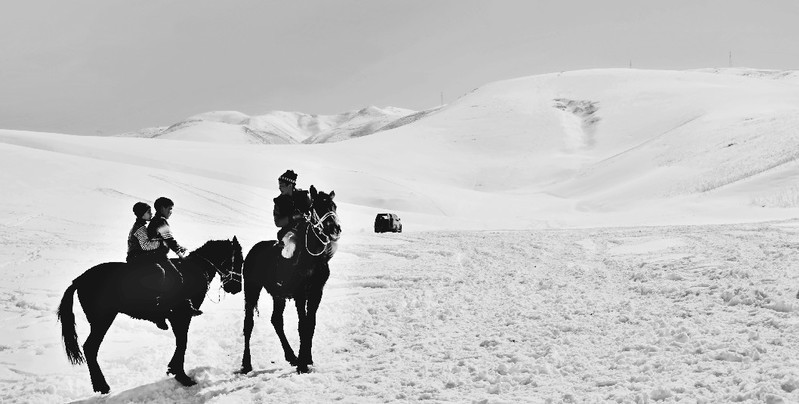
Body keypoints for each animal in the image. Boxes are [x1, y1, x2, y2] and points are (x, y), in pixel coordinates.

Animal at [57, 238, 244, 392]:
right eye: (239, 260)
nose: (236, 288)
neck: (195, 270)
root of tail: (79, 279)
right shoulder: (181, 316)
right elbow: (182, 342)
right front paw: (182, 376)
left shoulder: (177, 318)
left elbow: (180, 342)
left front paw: (173, 369)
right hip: (102, 320)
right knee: (90, 348)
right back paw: (102, 386)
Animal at [238, 185, 338, 374]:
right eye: (318, 207)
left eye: (334, 206)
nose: (335, 229)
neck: (313, 258)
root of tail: (254, 250)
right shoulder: (300, 293)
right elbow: (303, 325)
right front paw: (303, 364)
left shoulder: (316, 292)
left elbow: (311, 324)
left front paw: (307, 359)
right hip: (252, 288)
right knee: (248, 323)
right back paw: (246, 364)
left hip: (278, 295)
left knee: (276, 320)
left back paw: (291, 356)